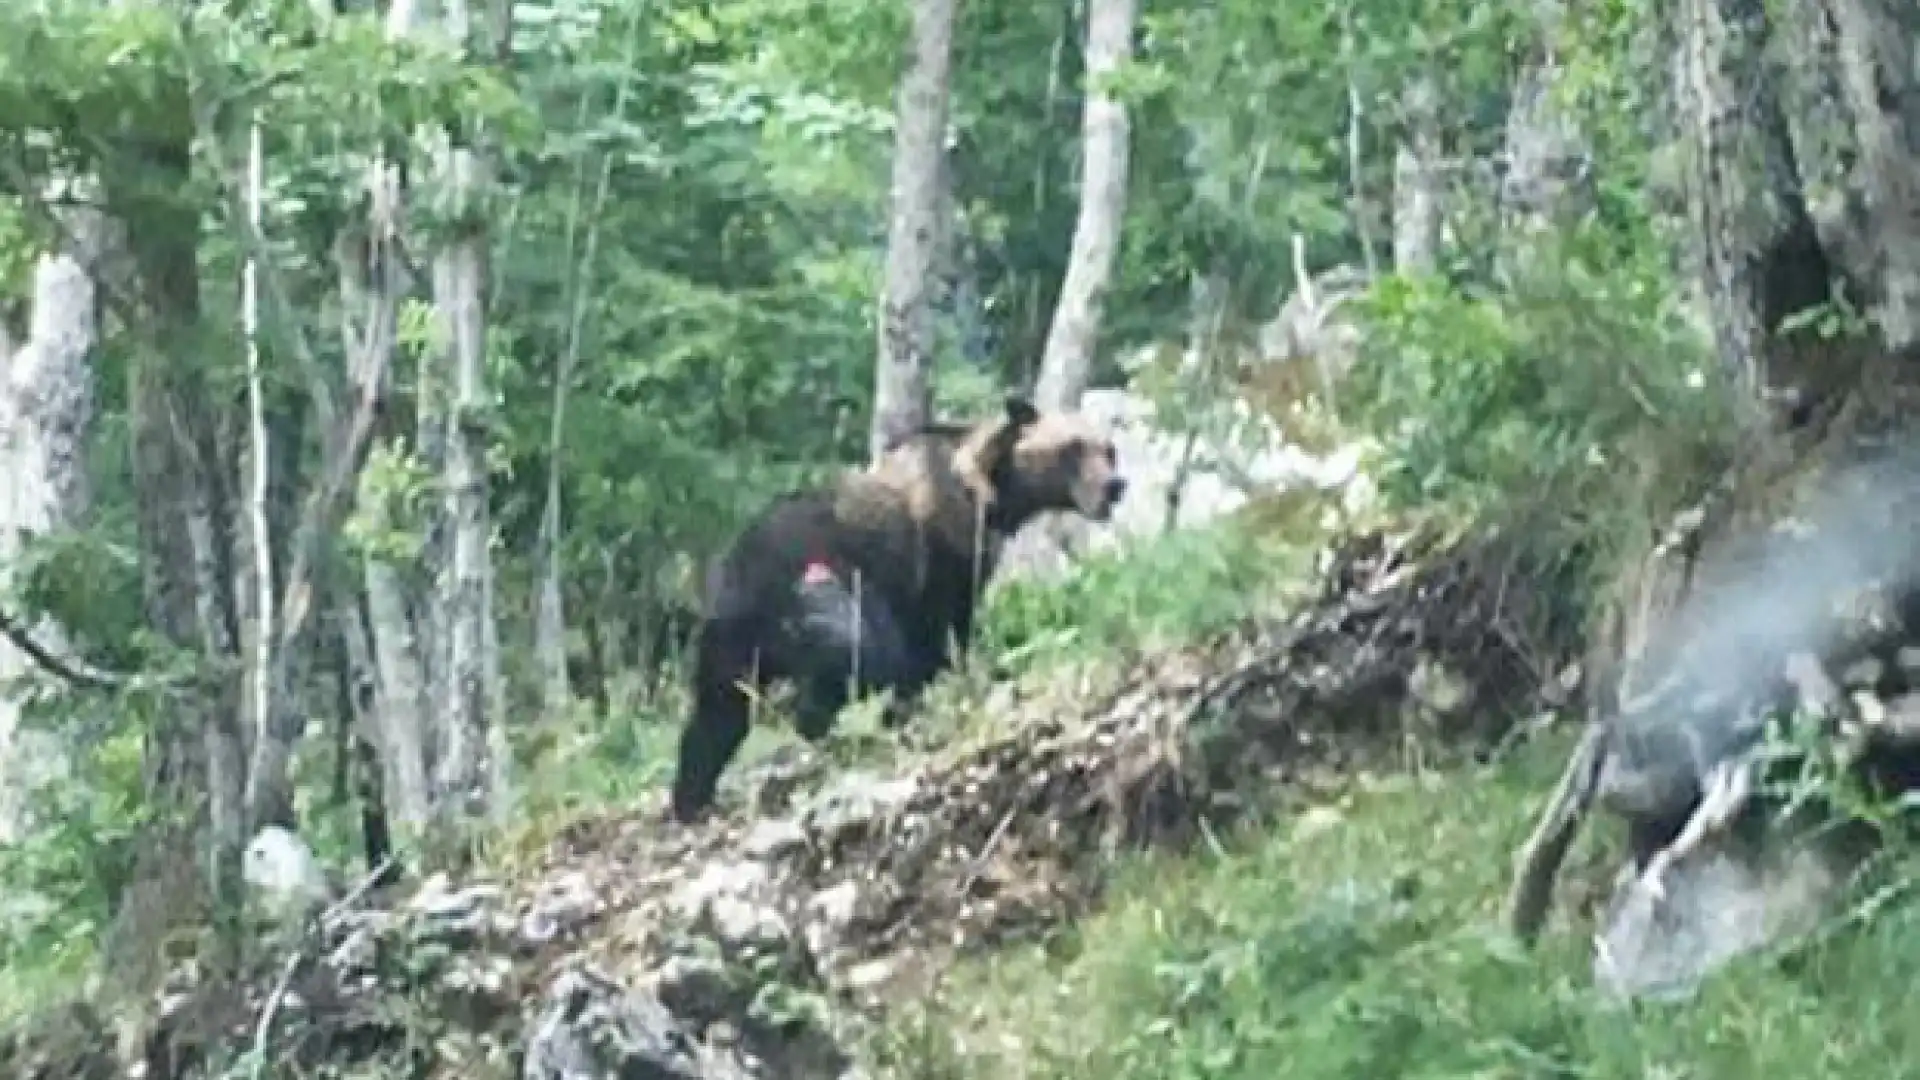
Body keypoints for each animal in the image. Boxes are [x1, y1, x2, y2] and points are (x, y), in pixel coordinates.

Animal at [672, 395, 1121, 814]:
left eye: (1109, 448)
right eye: (1073, 447)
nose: (1115, 485)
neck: (989, 495)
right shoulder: (943, 562)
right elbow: (936, 641)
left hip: (728, 636)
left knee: (716, 714)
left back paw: (692, 798)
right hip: (823, 589)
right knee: (858, 658)